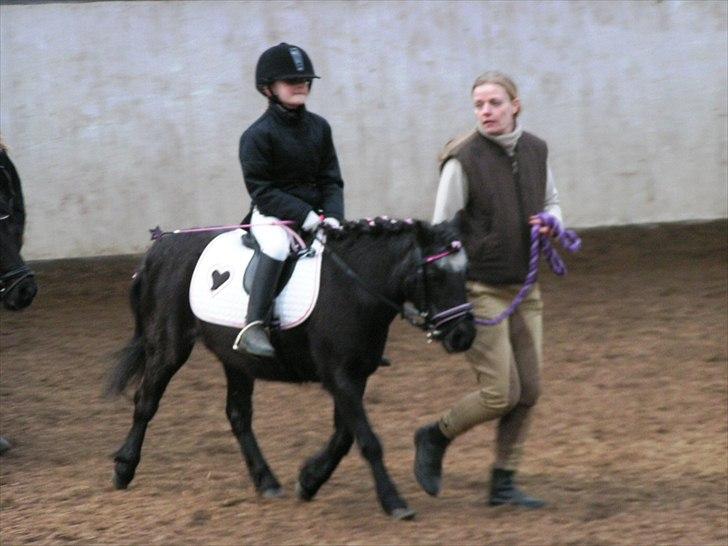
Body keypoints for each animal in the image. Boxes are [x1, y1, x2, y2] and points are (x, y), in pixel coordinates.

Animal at [106, 216, 476, 520]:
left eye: (466, 273)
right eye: (436, 275)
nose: (464, 336)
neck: (355, 288)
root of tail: (161, 246)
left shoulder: (355, 375)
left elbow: (344, 436)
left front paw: (309, 479)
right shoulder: (339, 376)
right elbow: (368, 440)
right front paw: (394, 502)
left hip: (236, 360)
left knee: (238, 416)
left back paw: (266, 480)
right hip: (169, 348)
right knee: (146, 402)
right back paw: (124, 469)